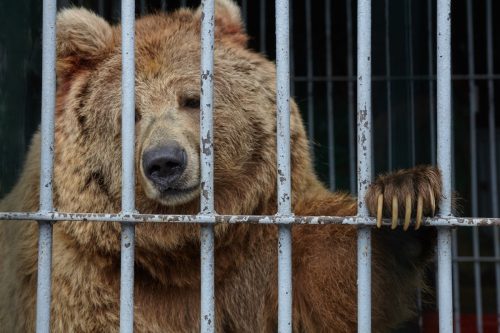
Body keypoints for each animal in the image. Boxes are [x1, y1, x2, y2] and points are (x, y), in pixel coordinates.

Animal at [0, 1, 442, 330]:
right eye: (132, 114)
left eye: (192, 99)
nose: (165, 162)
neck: (178, 250)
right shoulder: (75, 277)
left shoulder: (260, 248)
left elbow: (335, 279)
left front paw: (404, 196)